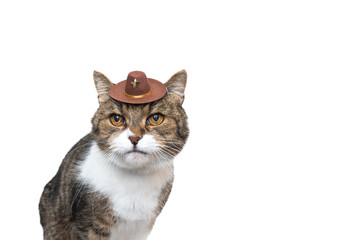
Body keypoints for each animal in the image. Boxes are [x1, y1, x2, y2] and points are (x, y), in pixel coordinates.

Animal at [39, 70, 190, 239]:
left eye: (155, 118)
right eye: (117, 119)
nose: (134, 138)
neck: (135, 180)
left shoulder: (141, 227)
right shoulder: (87, 226)